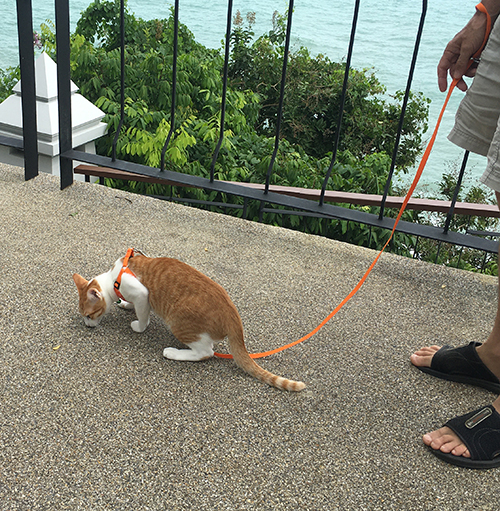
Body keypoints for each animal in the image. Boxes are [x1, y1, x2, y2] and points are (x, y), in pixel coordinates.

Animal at [72, 251, 302, 392]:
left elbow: (143, 316)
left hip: (178, 323)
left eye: (89, 316)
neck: (115, 277)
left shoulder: (142, 294)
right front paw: (126, 305)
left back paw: (173, 352)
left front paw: (138, 325)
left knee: (206, 353)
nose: (87, 326)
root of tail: (233, 315)